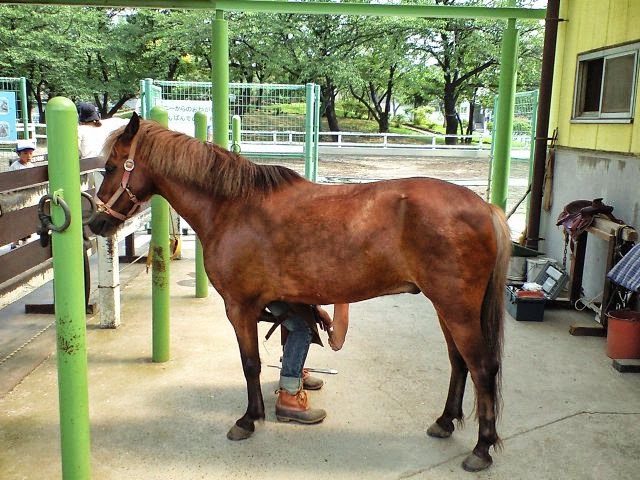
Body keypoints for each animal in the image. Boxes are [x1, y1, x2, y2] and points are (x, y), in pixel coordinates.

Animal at [88, 112, 511, 472]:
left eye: (110, 167)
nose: (94, 223)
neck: (232, 207)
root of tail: (485, 207)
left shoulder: (239, 307)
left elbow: (251, 363)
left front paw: (250, 418)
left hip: (456, 309)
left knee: (482, 367)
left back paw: (482, 448)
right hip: (446, 308)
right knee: (459, 363)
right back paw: (445, 421)